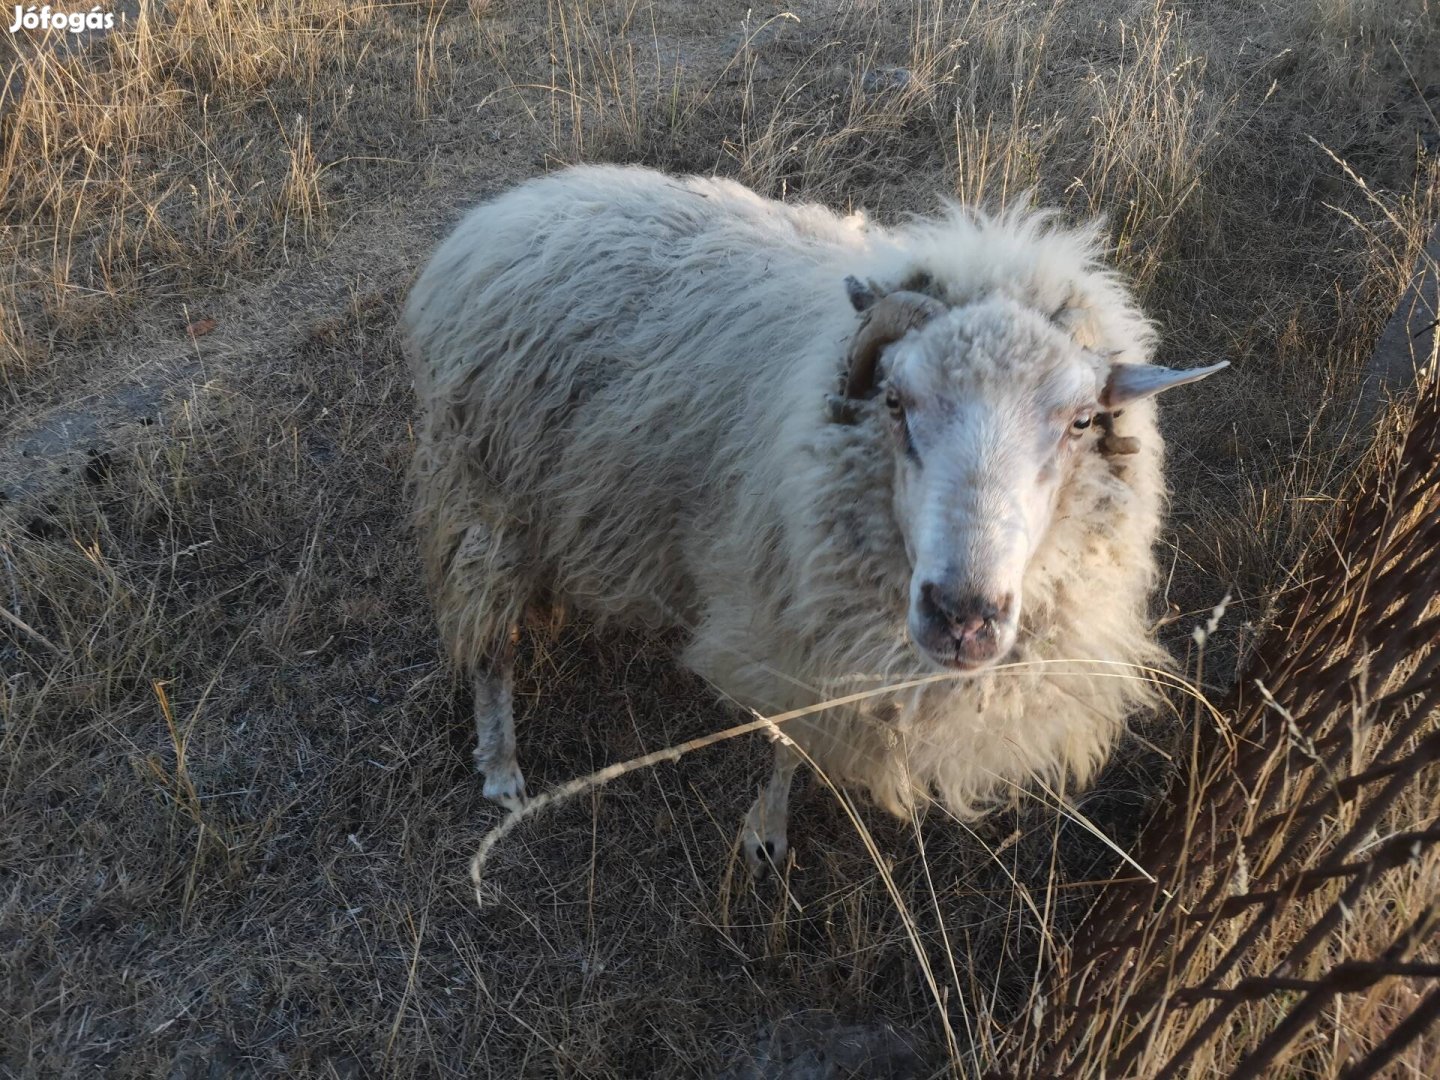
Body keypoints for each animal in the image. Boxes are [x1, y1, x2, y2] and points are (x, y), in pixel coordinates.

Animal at [406, 164, 1226, 875]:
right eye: (894, 399)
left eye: (1082, 422)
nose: (963, 617)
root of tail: (512, 207)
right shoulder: (788, 633)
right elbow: (787, 746)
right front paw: (765, 837)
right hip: (487, 497)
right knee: (488, 643)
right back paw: (501, 763)